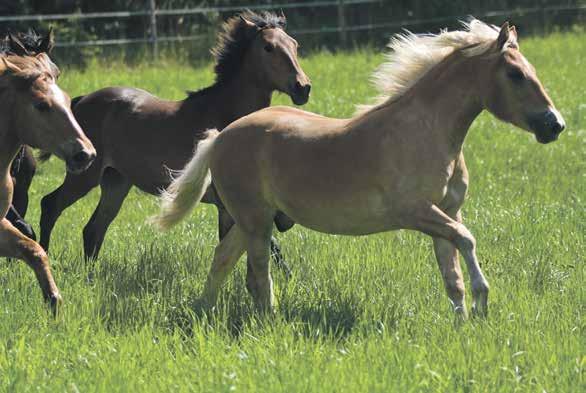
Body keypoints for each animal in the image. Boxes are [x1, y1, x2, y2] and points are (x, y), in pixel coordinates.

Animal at [37, 11, 310, 272]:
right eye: (268, 47)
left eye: (295, 44)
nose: (303, 88)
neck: (225, 114)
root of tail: (81, 101)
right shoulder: (232, 203)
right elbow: (268, 245)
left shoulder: (228, 207)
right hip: (85, 175)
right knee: (51, 205)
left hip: (116, 182)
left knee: (93, 229)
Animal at [153, 19, 564, 316]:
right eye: (515, 75)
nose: (555, 125)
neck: (426, 132)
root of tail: (219, 137)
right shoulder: (416, 211)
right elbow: (467, 240)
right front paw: (483, 302)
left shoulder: (446, 212)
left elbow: (453, 276)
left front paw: (463, 324)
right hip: (255, 222)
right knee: (258, 275)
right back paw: (268, 321)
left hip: (252, 219)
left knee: (223, 260)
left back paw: (203, 312)